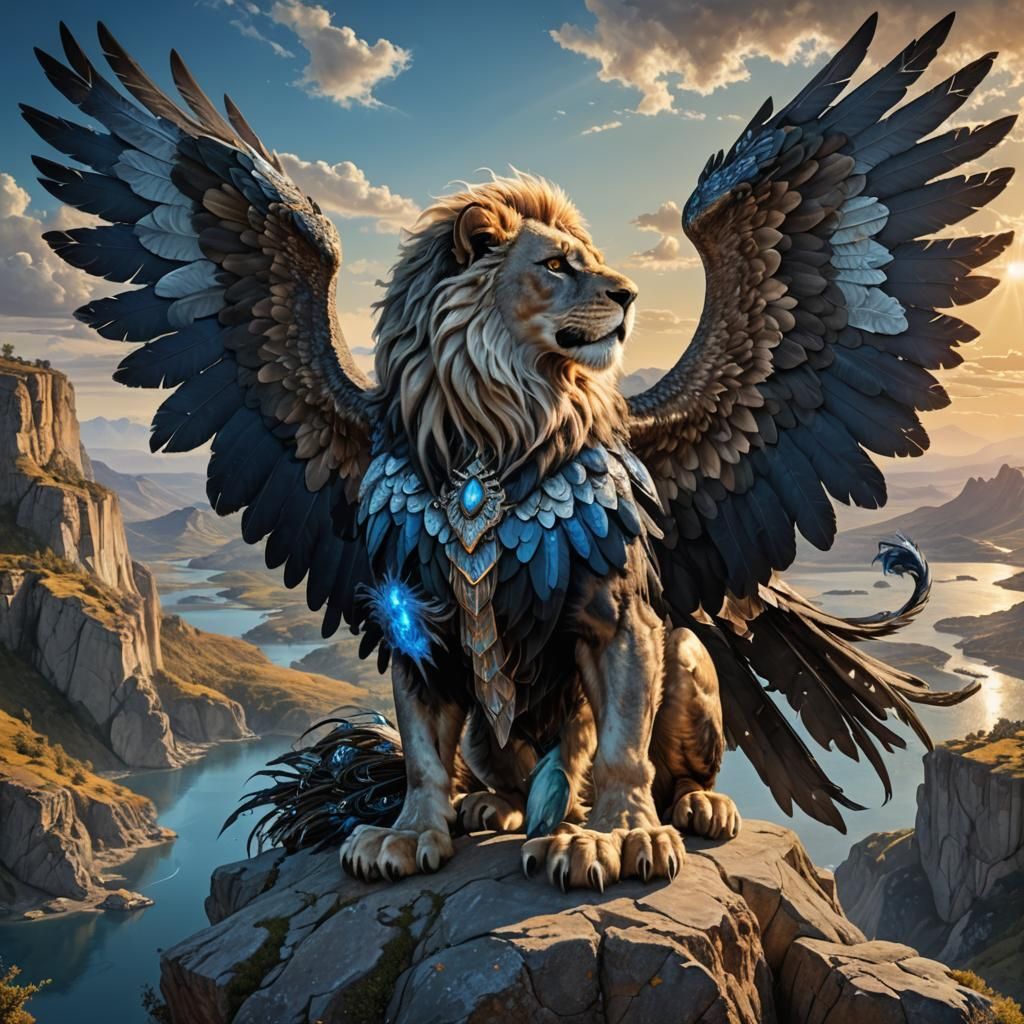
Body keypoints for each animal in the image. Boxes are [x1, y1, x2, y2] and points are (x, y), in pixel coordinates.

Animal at [32, 16, 1007, 891]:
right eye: (556, 264)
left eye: (590, 260)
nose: (628, 292)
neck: (488, 427)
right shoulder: (414, 615)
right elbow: (423, 751)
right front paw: (406, 833)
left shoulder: (619, 615)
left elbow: (618, 744)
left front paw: (617, 836)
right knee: (490, 767)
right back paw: (492, 808)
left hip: (692, 651)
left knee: (666, 744)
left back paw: (688, 806)